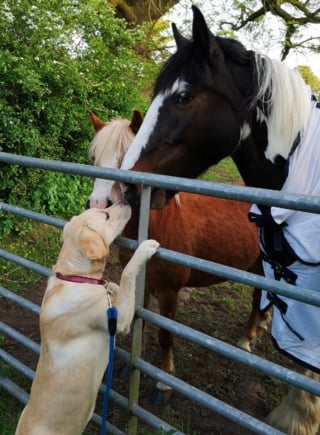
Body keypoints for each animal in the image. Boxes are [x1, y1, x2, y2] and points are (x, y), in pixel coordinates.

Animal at [15, 203, 160, 434]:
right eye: (106, 215)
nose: (127, 202)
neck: (75, 276)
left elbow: (113, 285)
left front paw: (110, 286)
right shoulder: (119, 320)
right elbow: (127, 274)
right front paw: (145, 249)